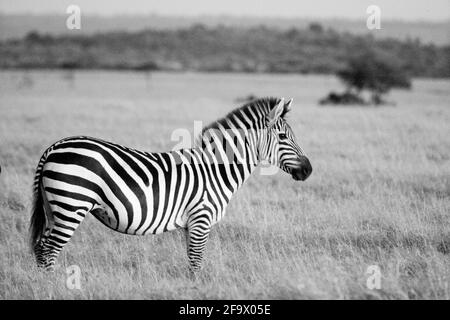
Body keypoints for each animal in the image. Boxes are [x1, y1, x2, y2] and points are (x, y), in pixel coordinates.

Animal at [29, 97, 312, 272]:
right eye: (283, 136)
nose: (308, 170)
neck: (216, 170)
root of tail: (54, 147)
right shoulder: (201, 218)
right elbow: (196, 262)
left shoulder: (191, 224)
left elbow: (191, 262)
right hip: (71, 204)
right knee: (49, 250)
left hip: (55, 208)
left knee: (41, 249)